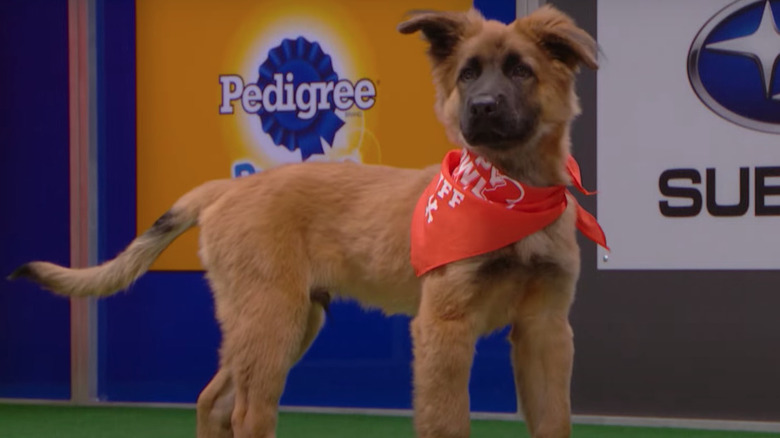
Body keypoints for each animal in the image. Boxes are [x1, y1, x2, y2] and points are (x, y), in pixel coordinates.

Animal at [10, 6, 596, 438]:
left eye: (520, 70)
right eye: (468, 73)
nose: (481, 108)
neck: (510, 194)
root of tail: (229, 187)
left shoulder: (545, 329)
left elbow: (555, 422)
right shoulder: (444, 327)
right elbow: (447, 422)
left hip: (279, 320)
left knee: (213, 401)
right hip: (274, 318)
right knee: (248, 413)